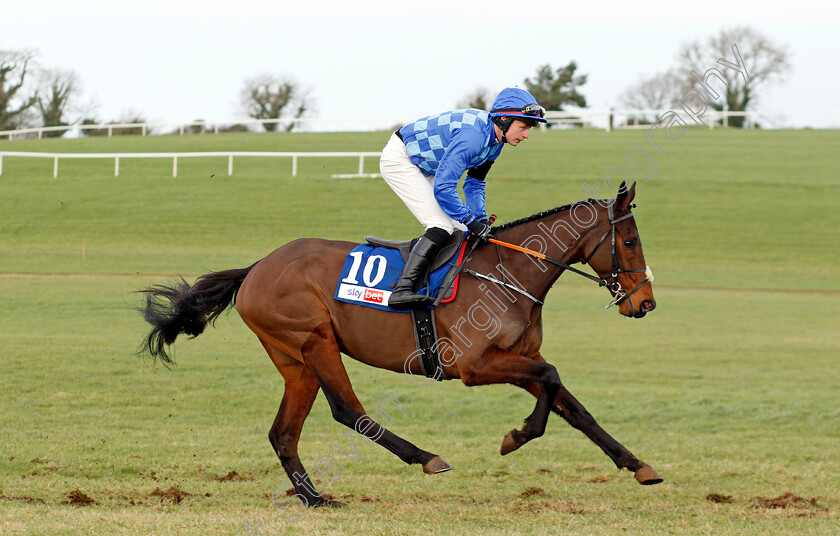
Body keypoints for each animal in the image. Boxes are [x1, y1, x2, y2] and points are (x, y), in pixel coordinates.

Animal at [141, 180, 660, 506]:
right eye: (630, 242)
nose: (646, 303)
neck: (510, 273)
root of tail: (256, 268)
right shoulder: (475, 365)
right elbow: (551, 381)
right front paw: (516, 437)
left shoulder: (520, 356)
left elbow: (573, 406)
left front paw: (637, 464)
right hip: (315, 341)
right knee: (346, 410)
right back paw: (426, 458)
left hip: (294, 361)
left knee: (283, 433)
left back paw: (315, 498)